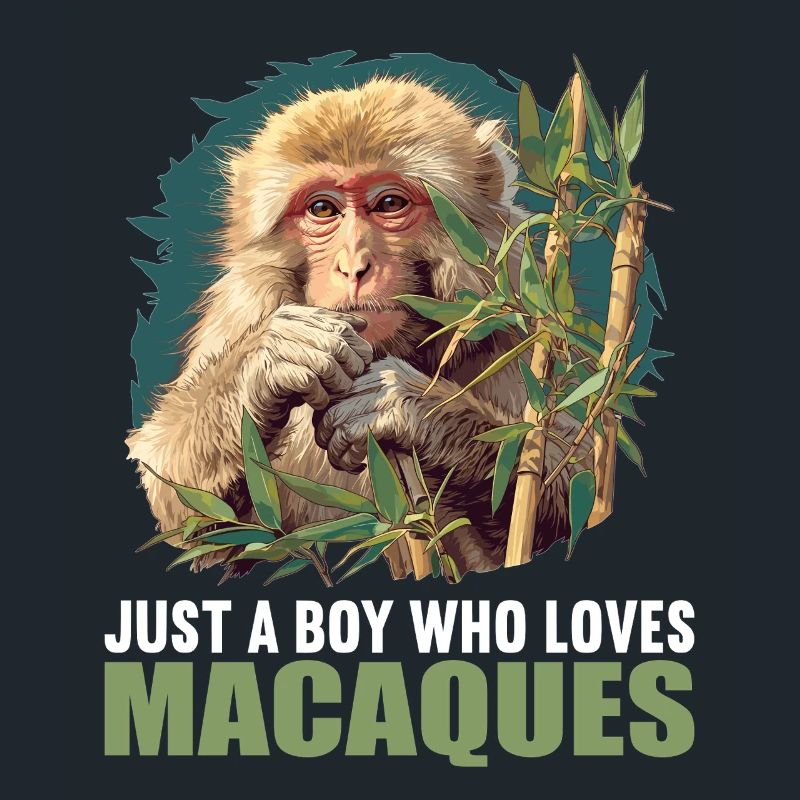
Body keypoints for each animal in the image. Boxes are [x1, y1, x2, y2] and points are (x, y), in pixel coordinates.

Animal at [126, 76, 591, 577]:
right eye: (322, 209)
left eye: (389, 203)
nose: (353, 266)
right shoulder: (245, 304)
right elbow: (186, 512)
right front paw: (277, 357)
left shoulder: (520, 324)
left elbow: (577, 477)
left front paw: (403, 408)